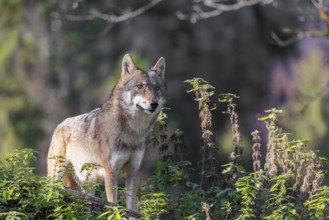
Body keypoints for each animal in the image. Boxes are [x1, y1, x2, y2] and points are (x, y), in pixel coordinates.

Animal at [47, 53, 165, 213]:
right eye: (140, 86)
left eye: (157, 88)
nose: (154, 104)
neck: (132, 133)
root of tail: (60, 124)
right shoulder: (111, 172)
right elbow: (113, 203)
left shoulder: (133, 172)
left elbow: (131, 206)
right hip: (57, 175)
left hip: (88, 184)